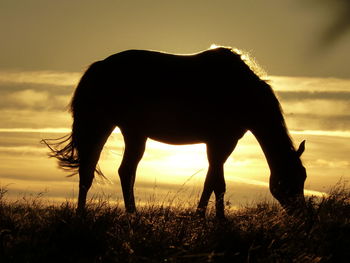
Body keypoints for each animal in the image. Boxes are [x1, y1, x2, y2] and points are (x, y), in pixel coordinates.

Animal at [42, 46, 308, 219]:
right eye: (292, 179)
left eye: (303, 177)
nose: (302, 216)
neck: (241, 90)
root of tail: (99, 67)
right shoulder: (221, 142)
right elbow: (216, 182)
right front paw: (211, 218)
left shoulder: (220, 143)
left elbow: (213, 180)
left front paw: (208, 216)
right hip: (104, 126)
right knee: (96, 170)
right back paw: (93, 215)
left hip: (130, 131)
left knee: (116, 171)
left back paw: (126, 215)